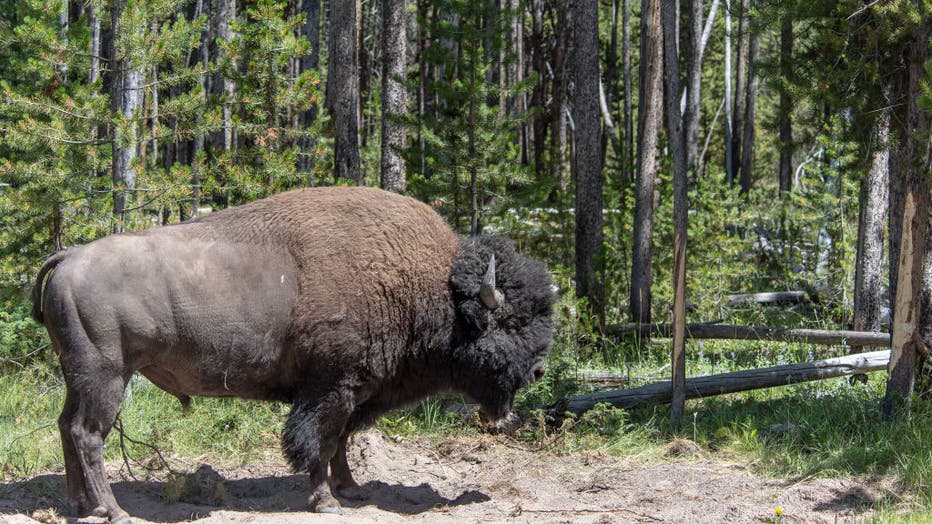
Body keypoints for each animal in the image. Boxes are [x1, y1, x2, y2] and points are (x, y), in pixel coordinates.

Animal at [31, 186, 552, 520]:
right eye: (510, 323)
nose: (539, 370)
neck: (431, 287)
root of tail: (68, 257)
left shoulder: (353, 391)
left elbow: (340, 441)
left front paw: (351, 489)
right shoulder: (329, 388)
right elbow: (318, 442)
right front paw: (326, 501)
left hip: (78, 375)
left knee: (65, 426)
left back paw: (80, 506)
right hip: (107, 376)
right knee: (88, 433)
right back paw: (112, 510)